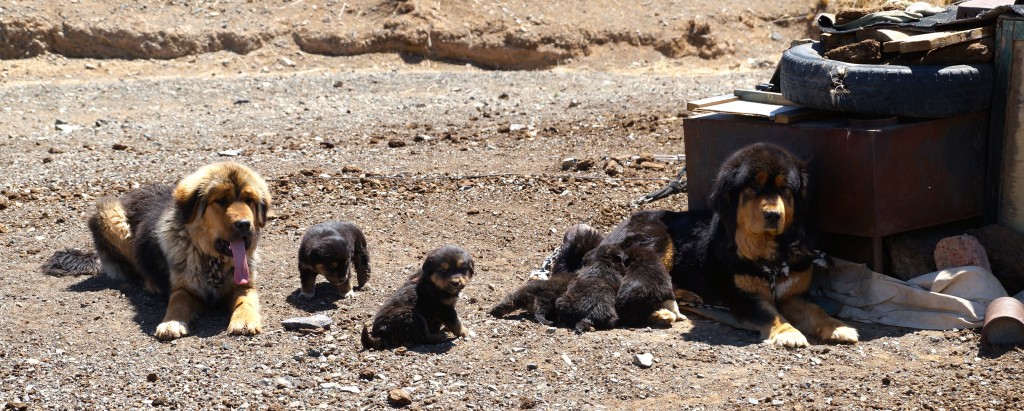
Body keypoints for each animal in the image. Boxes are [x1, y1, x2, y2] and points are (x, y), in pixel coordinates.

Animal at [598, 142, 856, 348]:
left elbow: (816, 310)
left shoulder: (793, 294)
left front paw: (838, 327)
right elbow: (771, 315)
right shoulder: (745, 297)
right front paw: (788, 333)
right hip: (659, 241)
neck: (770, 253)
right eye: (754, 187)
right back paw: (660, 312)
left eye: (784, 189)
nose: (773, 215)